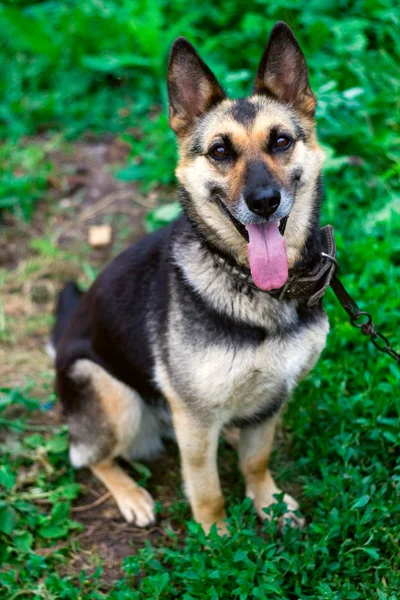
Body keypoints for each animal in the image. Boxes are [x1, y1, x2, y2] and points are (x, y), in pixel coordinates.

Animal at [52, 21, 328, 532]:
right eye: (220, 150)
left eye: (281, 141)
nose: (265, 202)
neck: (251, 283)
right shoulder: (195, 420)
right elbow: (205, 484)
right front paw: (216, 533)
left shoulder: (273, 396)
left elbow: (257, 460)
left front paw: (268, 503)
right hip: (113, 394)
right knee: (89, 457)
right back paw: (131, 494)